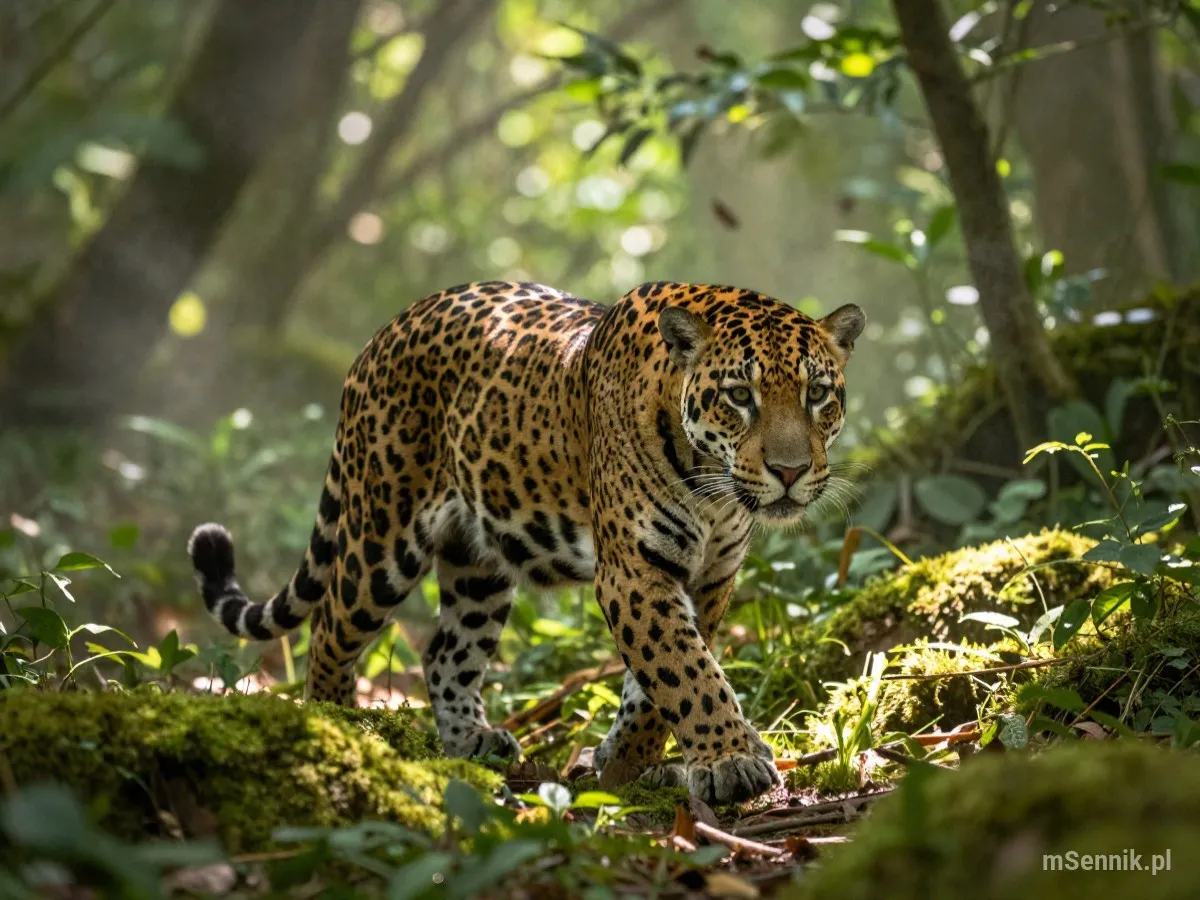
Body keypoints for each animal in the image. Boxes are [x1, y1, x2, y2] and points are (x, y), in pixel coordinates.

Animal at [187, 280, 865, 805]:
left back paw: (472, 740)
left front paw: (628, 761)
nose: (789, 472)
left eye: (817, 394)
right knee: (330, 626)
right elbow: (684, 669)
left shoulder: (711, 577)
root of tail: (386, 330)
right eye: (739, 396)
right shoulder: (633, 571)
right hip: (379, 533)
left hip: (478, 565)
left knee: (445, 652)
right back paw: (341, 727)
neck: (713, 491)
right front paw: (729, 760)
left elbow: (657, 684)